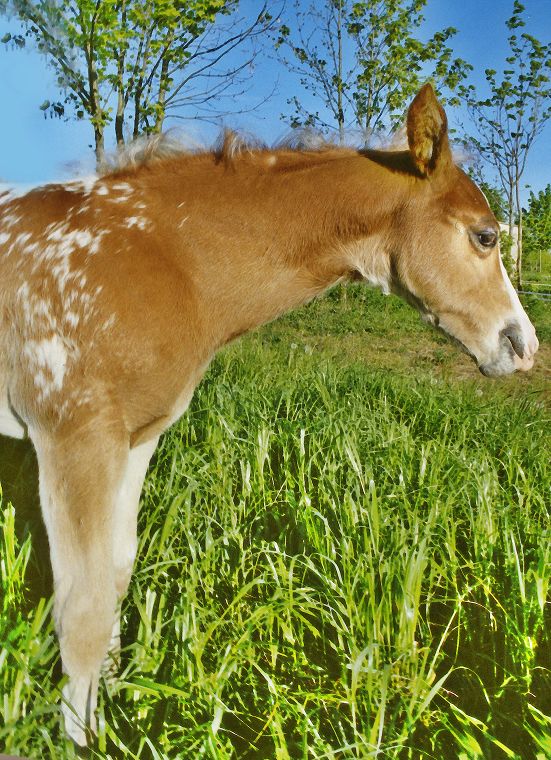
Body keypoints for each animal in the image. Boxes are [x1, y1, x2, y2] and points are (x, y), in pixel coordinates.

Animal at [0, 86, 540, 744]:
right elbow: (82, 609)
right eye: (486, 236)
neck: (164, 260)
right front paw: (83, 741)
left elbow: (116, 578)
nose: (523, 346)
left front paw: (115, 718)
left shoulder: (134, 440)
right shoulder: (72, 437)